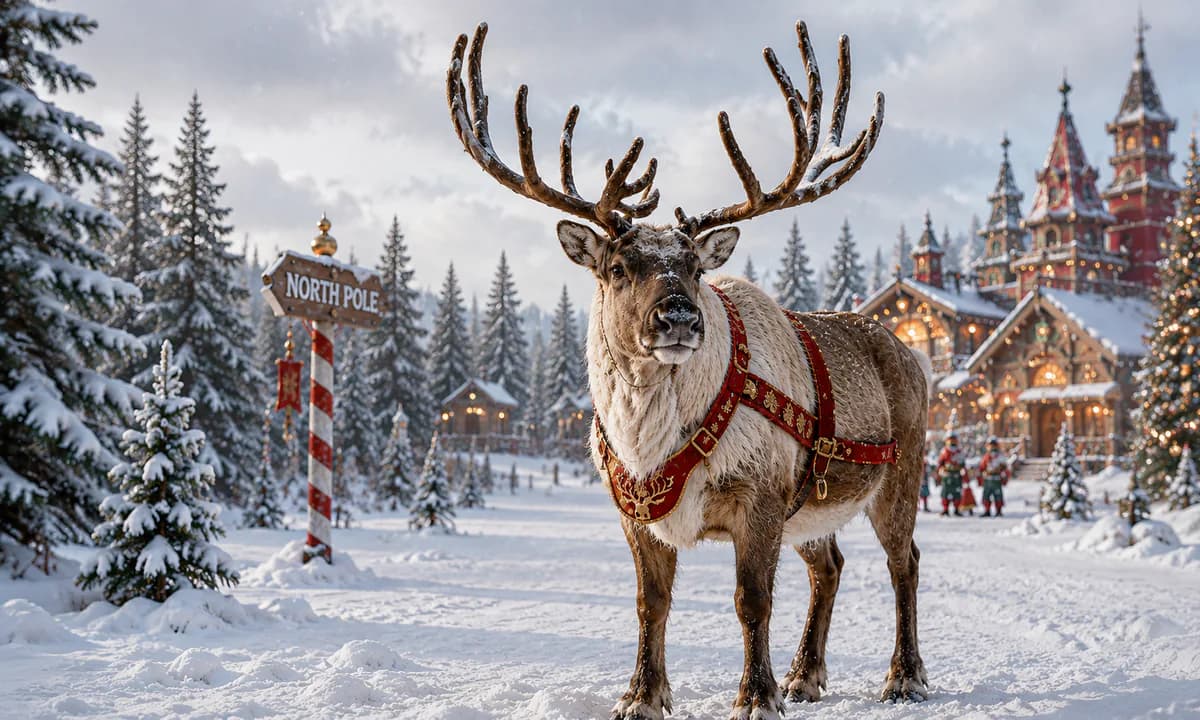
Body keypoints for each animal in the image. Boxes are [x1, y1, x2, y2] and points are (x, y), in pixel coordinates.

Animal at [446, 20, 931, 720]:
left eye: (695, 267)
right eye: (618, 266)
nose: (677, 317)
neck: (651, 441)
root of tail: (911, 352)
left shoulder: (760, 496)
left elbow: (752, 601)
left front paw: (754, 696)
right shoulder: (636, 513)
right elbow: (651, 604)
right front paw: (641, 695)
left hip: (900, 476)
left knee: (905, 562)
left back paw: (903, 676)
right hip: (813, 509)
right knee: (830, 566)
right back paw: (805, 675)